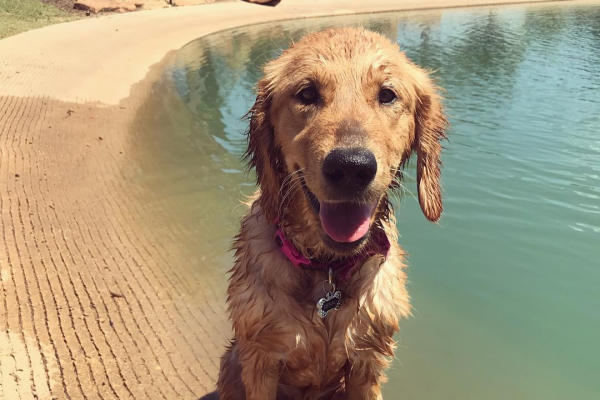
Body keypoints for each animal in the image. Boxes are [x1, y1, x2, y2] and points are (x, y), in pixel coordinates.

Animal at [216, 26, 446, 398]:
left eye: (387, 95)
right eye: (307, 93)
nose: (351, 167)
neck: (327, 270)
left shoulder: (367, 361)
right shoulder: (260, 358)